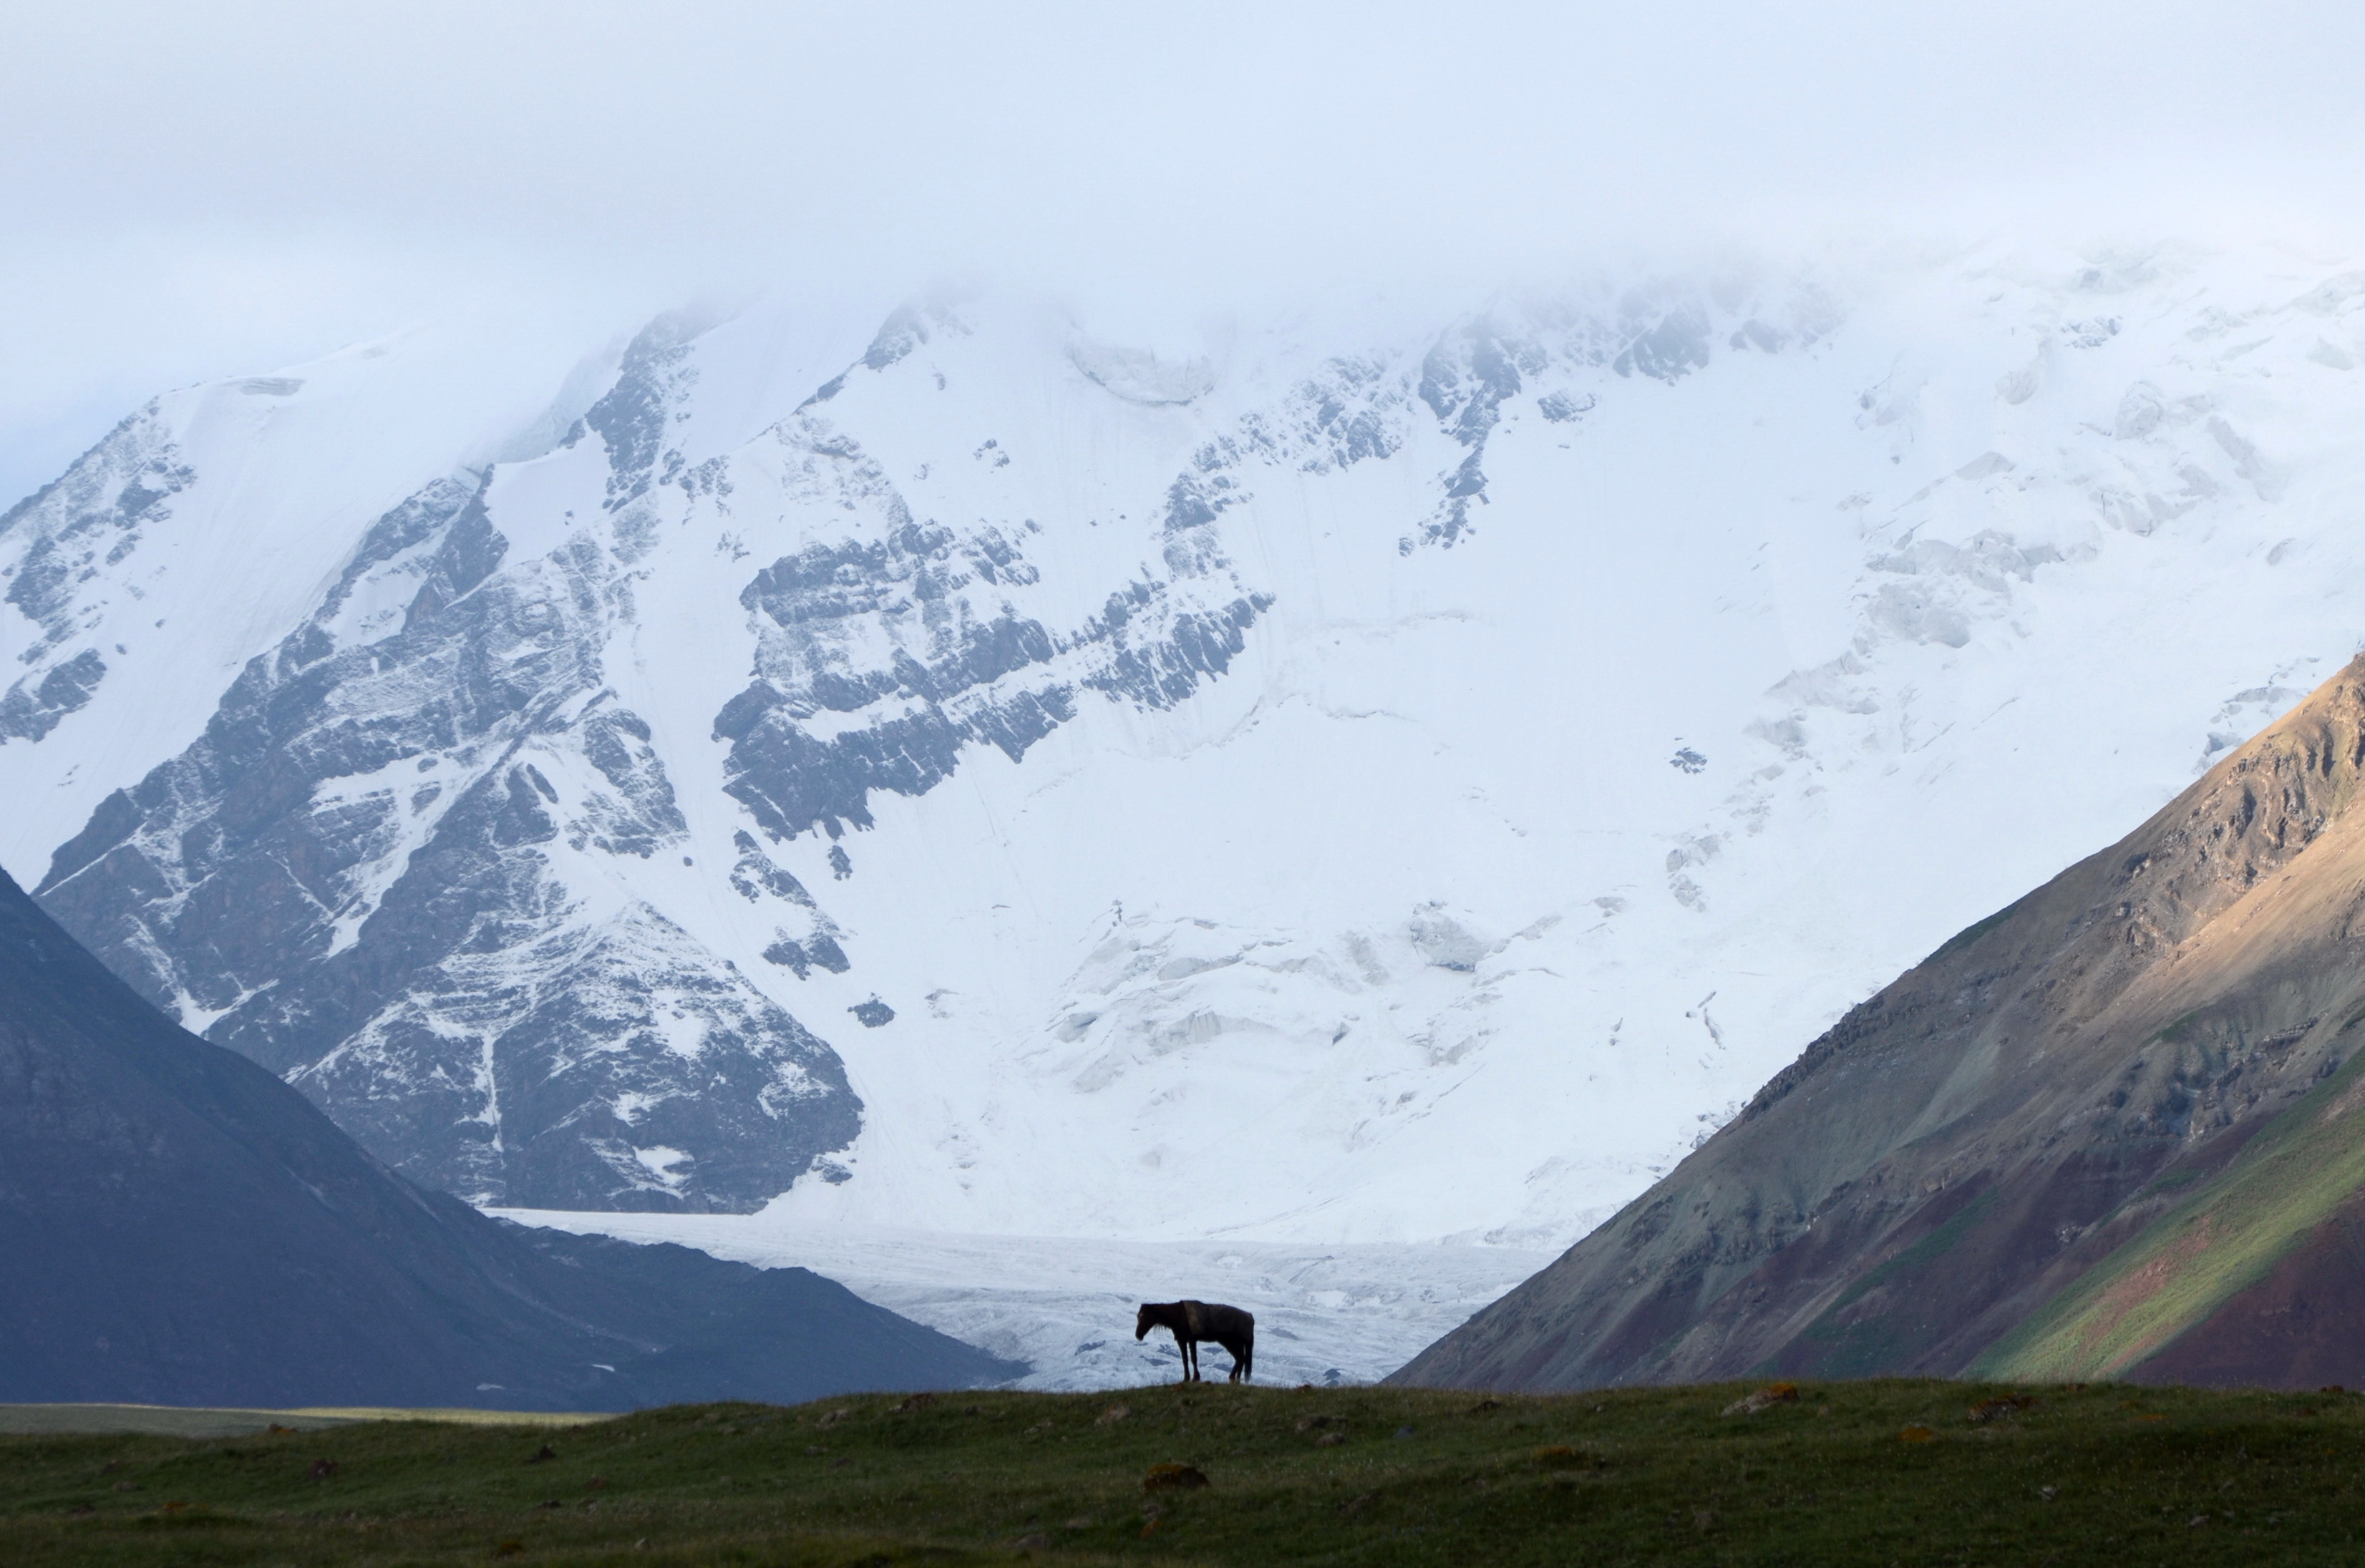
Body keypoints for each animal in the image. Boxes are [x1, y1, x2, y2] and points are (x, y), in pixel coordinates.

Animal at [1130, 1295, 1258, 1391]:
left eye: (1145, 1317)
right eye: (1138, 1316)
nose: (1138, 1335)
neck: (1178, 1315)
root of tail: (1250, 1316)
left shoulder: (1191, 1339)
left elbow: (1193, 1359)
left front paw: (1195, 1378)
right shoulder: (1182, 1340)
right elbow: (1185, 1359)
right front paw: (1186, 1379)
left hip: (1231, 1342)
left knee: (1240, 1358)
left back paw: (1233, 1379)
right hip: (1233, 1343)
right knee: (1240, 1359)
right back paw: (1235, 1380)